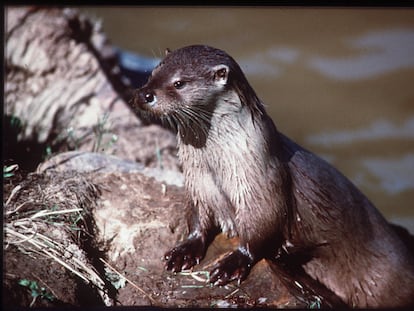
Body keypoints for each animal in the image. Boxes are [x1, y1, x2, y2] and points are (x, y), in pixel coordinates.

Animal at [132, 45, 414, 308]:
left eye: (179, 83)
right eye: (152, 74)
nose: (144, 94)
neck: (218, 168)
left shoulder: (261, 185)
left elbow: (261, 230)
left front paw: (232, 263)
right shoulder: (198, 186)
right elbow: (197, 220)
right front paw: (184, 251)